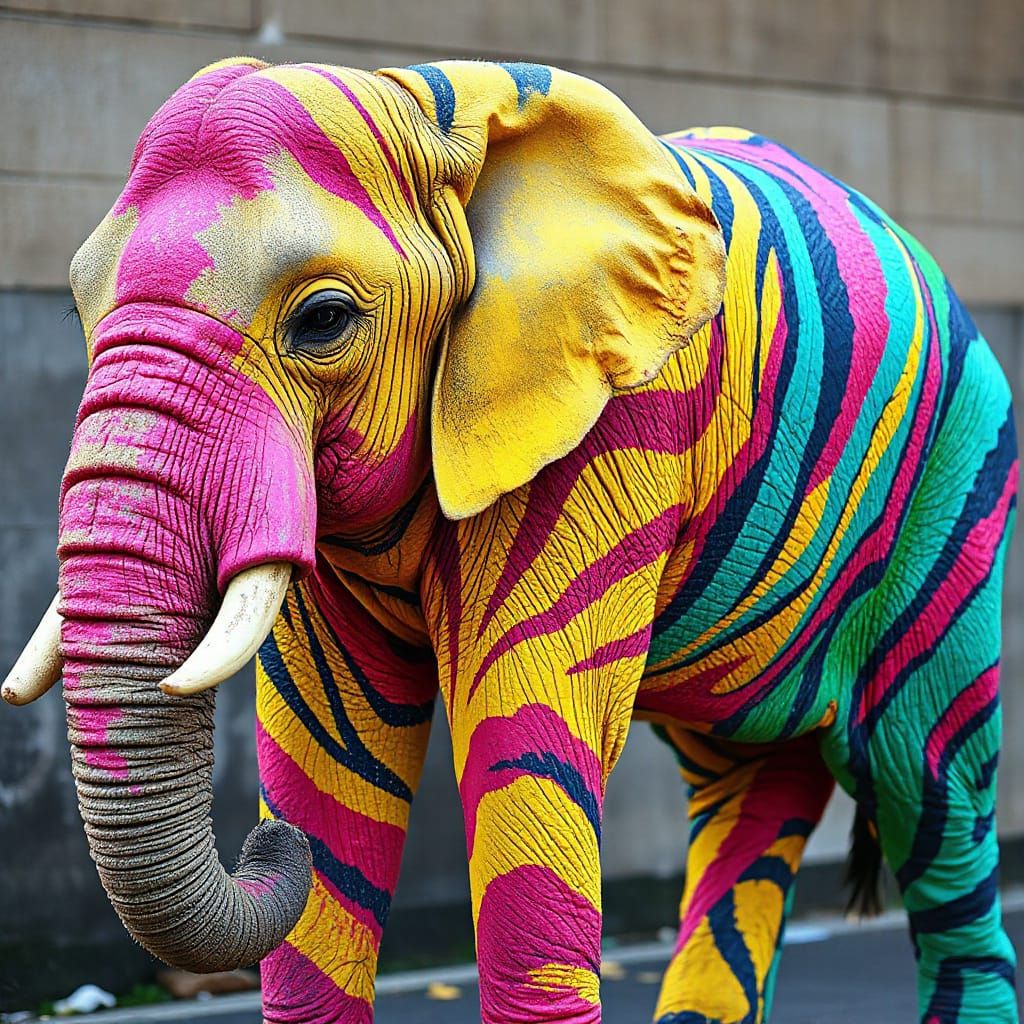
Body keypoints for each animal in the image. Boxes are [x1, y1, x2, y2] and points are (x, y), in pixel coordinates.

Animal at [1, 56, 1018, 1024]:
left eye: (323, 321)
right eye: (80, 310)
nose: (262, 840)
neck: (427, 109)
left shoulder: (607, 426)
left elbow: (519, 734)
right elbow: (328, 750)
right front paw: (307, 823)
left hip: (955, 500)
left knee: (927, 789)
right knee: (749, 795)